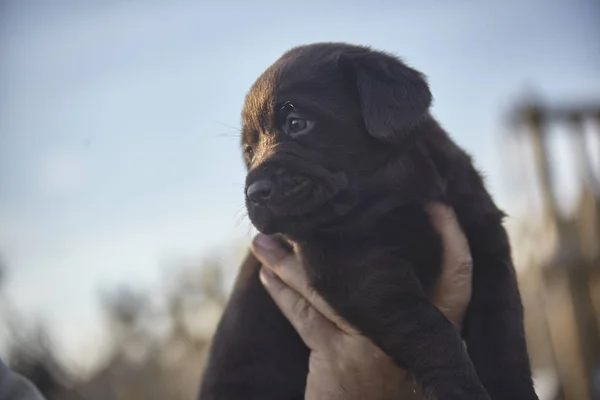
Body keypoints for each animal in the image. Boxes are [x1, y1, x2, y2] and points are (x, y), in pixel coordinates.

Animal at [199, 43, 536, 400]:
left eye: (296, 122)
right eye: (249, 152)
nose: (255, 192)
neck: (396, 194)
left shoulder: (487, 241)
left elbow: (503, 331)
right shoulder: (355, 268)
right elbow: (429, 330)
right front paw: (459, 389)